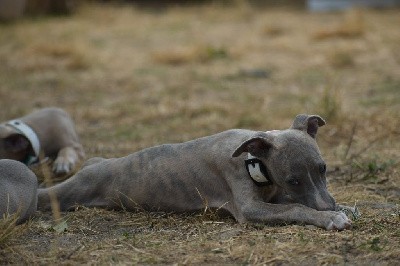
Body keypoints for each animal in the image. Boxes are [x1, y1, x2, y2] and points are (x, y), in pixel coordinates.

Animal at [37, 114, 350, 231]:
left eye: (323, 169)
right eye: (292, 180)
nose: (328, 206)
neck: (252, 160)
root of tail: (92, 167)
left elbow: (293, 203)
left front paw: (341, 209)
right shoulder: (249, 209)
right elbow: (295, 207)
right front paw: (330, 217)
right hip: (66, 192)